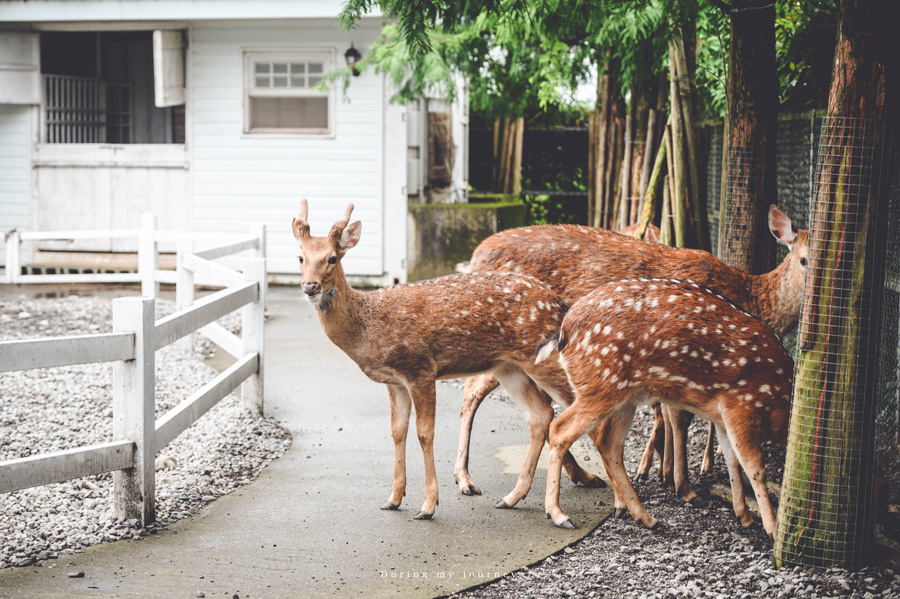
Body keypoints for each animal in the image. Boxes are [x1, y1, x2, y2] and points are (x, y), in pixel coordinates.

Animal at [294, 200, 604, 520]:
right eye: (300, 257)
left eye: (332, 258)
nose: (310, 287)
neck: (370, 328)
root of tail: (560, 305)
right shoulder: (394, 382)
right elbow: (397, 431)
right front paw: (393, 499)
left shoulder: (420, 367)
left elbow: (425, 433)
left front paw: (428, 505)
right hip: (509, 366)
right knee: (541, 415)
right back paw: (512, 497)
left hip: (543, 359)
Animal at [454, 206, 804, 510]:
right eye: (803, 259)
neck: (751, 299)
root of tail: (474, 257)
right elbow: (679, 417)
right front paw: (680, 483)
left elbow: (678, 416)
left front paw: (666, 471)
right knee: (481, 391)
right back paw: (468, 479)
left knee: (533, 407)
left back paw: (580, 478)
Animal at [536, 276, 796, 536]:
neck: (780, 397)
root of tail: (563, 332)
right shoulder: (741, 403)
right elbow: (755, 468)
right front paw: (771, 529)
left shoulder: (722, 415)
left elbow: (733, 460)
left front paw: (744, 515)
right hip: (601, 386)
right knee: (560, 429)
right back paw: (559, 515)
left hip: (624, 397)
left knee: (608, 443)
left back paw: (645, 517)